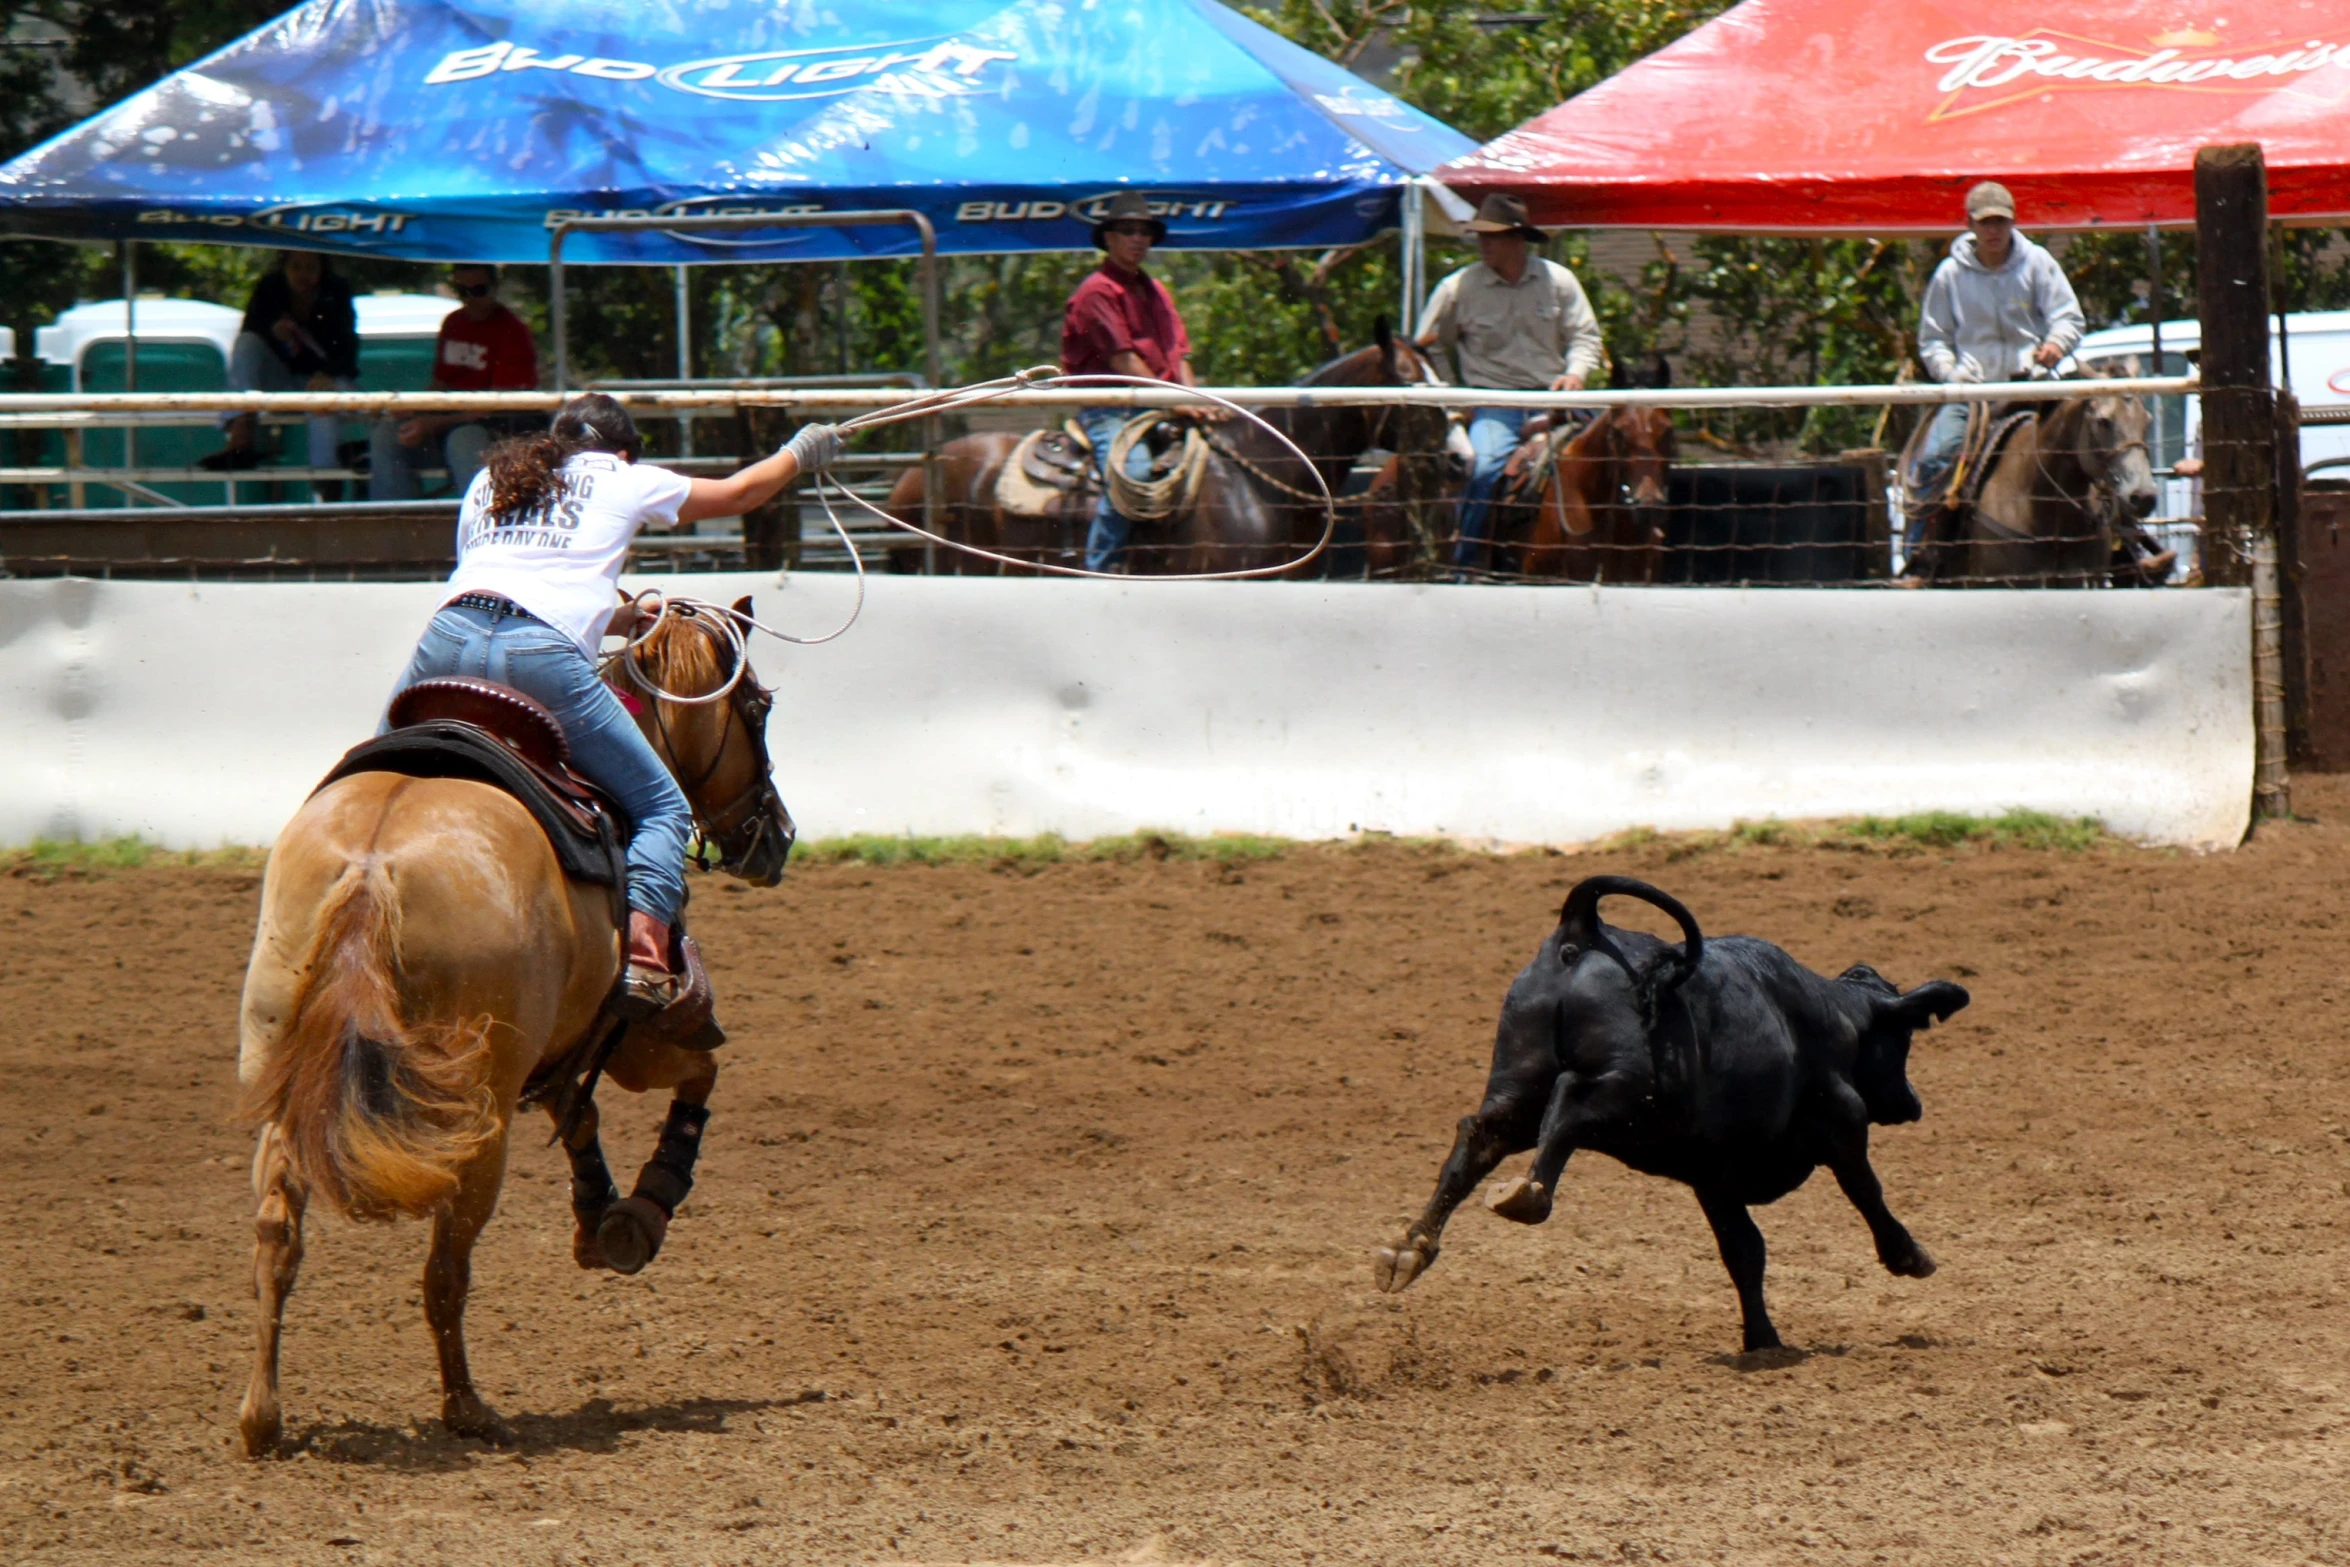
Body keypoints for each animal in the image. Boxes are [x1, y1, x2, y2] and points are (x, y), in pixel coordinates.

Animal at [233, 601, 794, 1456]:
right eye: (757, 708)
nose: (779, 837)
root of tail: (371, 863)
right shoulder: (646, 1035)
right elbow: (697, 1079)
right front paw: (637, 1216)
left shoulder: (565, 1042)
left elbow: (579, 1113)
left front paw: (597, 1213)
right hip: (480, 1114)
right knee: (444, 1267)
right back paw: (469, 1409)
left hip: (284, 1074)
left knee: (277, 1235)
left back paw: (263, 1417)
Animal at [1372, 878, 1973, 1353]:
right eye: (1904, 1041)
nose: (1913, 1102)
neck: (1832, 1019)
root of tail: (1585, 929)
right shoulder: (1842, 1124)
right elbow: (1867, 1193)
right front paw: (1909, 1256)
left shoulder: (1714, 1176)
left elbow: (1744, 1251)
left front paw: (1762, 1339)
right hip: (1627, 1089)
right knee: (1568, 1103)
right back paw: (1528, 1196)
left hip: (1517, 1086)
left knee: (1479, 1137)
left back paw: (1409, 1248)